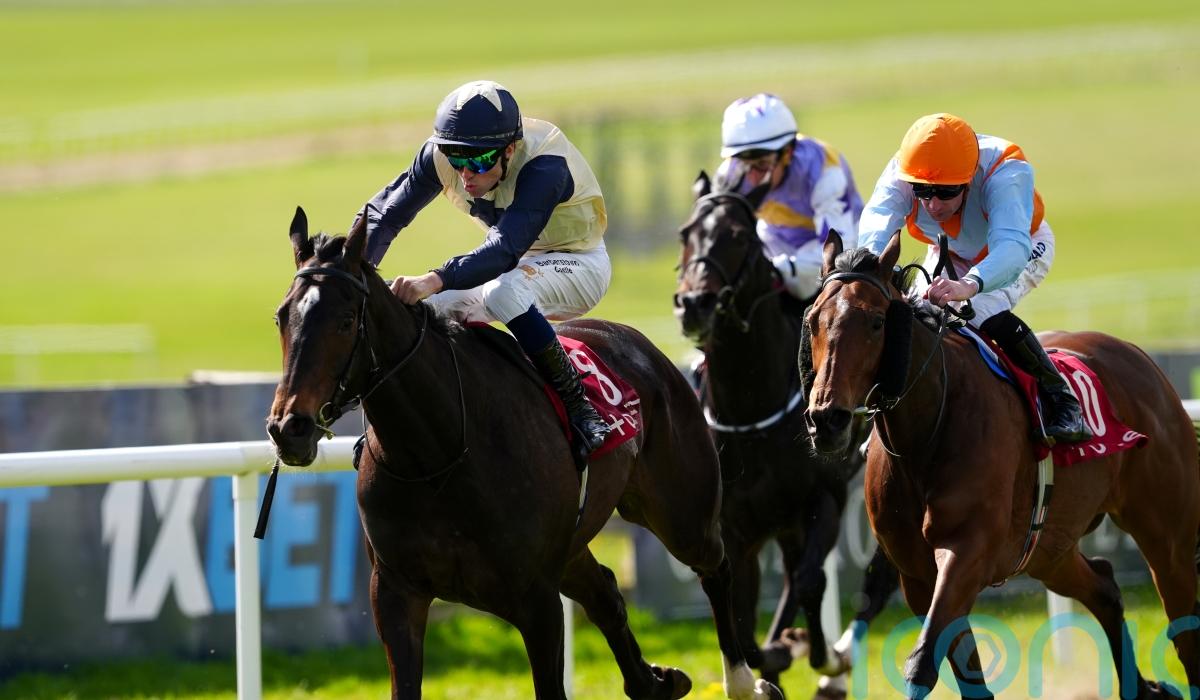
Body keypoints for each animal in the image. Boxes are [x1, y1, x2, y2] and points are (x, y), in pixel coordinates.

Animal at [266, 207, 784, 700]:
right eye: (281, 317)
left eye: (345, 321)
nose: (290, 428)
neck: (438, 456)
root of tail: (644, 347)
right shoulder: (395, 592)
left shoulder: (536, 600)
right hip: (575, 543)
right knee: (606, 593)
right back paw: (656, 683)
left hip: (681, 513)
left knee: (716, 566)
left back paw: (745, 682)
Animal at [673, 173, 899, 698]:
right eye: (686, 233)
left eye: (739, 235)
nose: (694, 304)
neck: (752, 411)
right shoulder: (737, 530)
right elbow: (742, 624)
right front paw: (773, 659)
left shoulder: (824, 500)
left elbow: (810, 583)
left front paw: (813, 654)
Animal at [803, 230, 1200, 698]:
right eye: (812, 320)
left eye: (876, 323)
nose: (827, 419)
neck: (928, 430)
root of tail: (1141, 358)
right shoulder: (918, 575)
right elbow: (961, 670)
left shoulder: (967, 551)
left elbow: (921, 665)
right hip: (1048, 547)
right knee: (1103, 584)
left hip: (1167, 536)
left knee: (1185, 627)